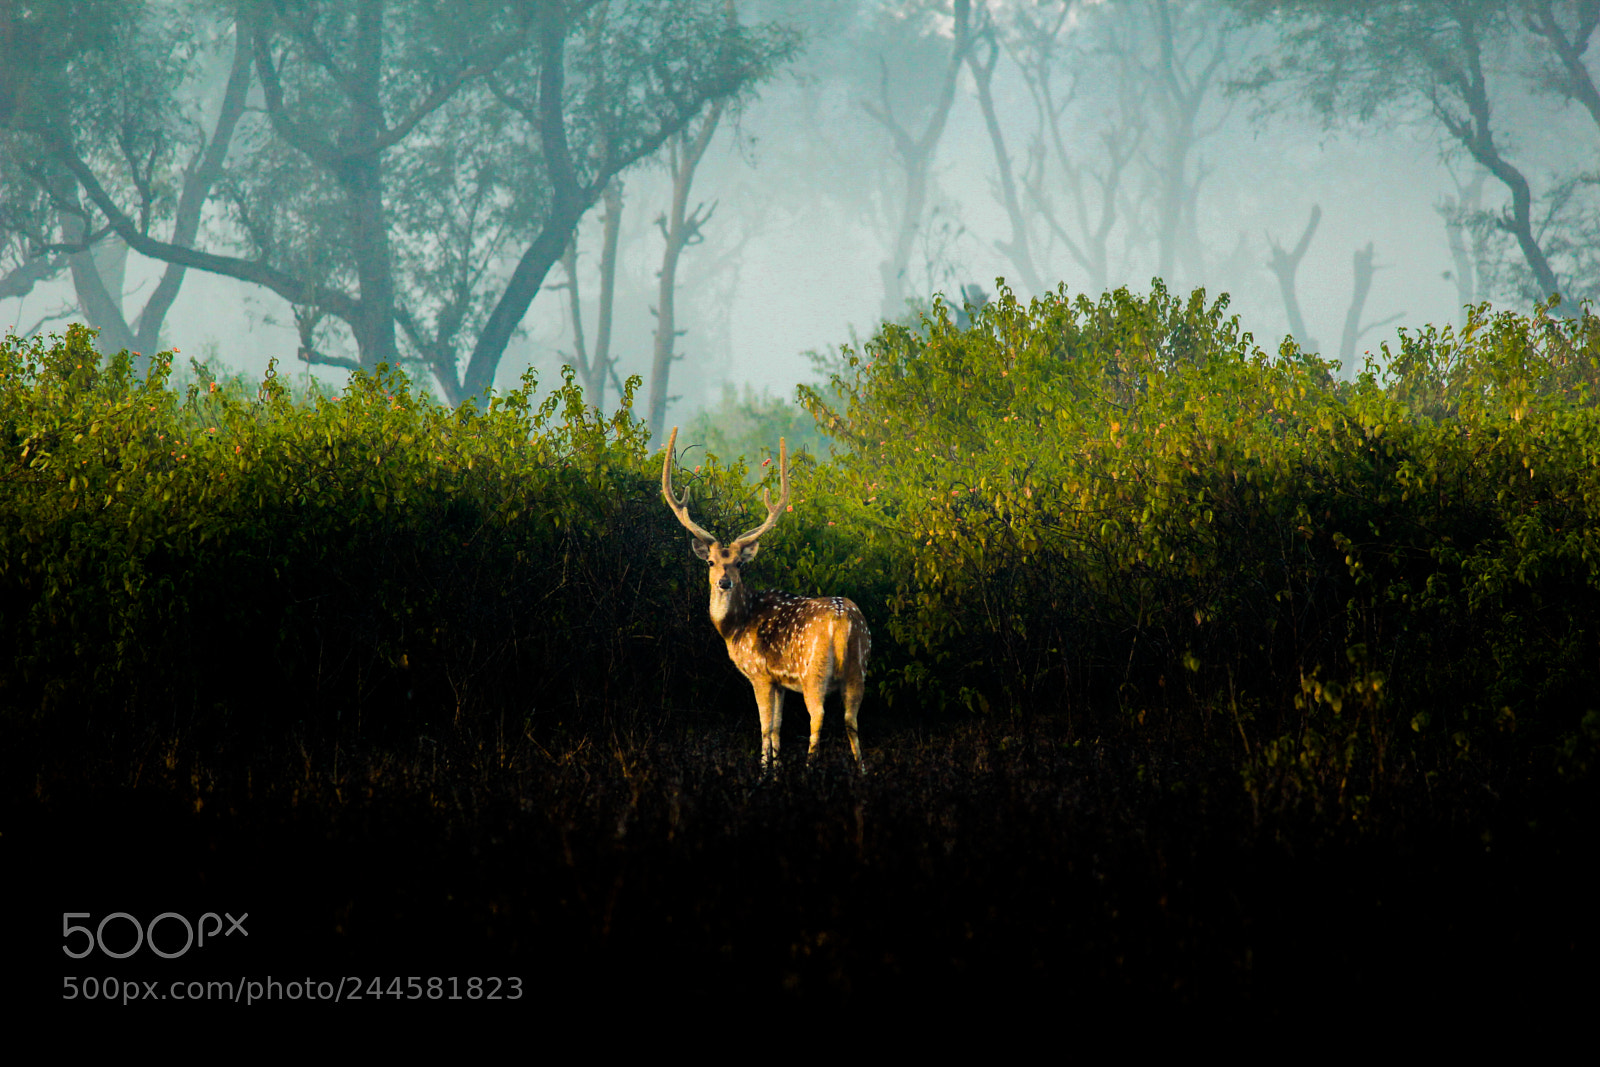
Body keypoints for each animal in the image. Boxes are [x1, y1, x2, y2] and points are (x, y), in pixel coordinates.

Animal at [662, 427, 870, 770]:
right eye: (711, 562)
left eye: (740, 563)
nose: (724, 582)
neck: (734, 629)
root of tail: (843, 621)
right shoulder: (780, 681)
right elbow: (777, 726)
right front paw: (775, 768)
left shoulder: (760, 673)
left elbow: (765, 725)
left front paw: (765, 772)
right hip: (859, 668)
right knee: (852, 719)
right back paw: (862, 772)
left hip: (814, 670)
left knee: (818, 716)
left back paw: (810, 768)